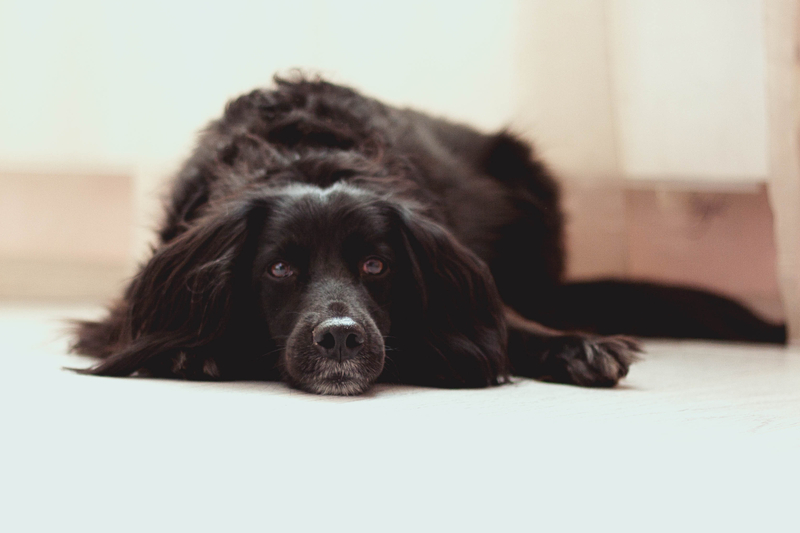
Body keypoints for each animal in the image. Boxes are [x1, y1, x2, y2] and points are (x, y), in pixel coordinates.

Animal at [72, 76, 786, 395]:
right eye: (278, 269)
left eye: (376, 266)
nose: (339, 338)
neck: (312, 156)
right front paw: (191, 353)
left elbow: (504, 321)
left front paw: (575, 347)